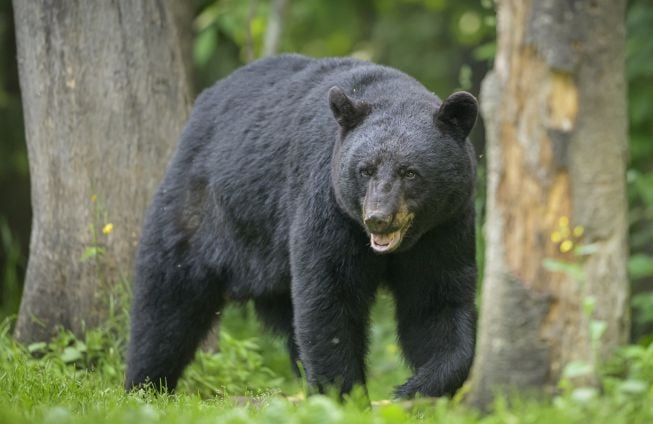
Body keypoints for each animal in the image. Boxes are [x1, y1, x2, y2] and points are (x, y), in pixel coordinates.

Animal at [125, 53, 476, 398]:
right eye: (365, 169)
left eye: (410, 172)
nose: (378, 217)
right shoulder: (328, 206)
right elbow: (328, 297)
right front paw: (344, 394)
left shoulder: (444, 227)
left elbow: (436, 303)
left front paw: (415, 388)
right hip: (200, 210)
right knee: (167, 300)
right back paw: (145, 385)